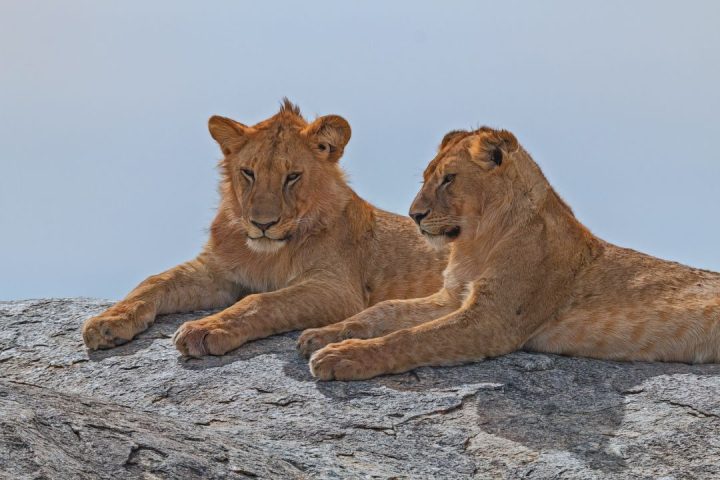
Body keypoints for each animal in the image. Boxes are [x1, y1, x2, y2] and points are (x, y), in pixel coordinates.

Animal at [81, 100, 448, 356]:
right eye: (249, 173)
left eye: (292, 176)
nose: (262, 224)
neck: (266, 253)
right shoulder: (216, 272)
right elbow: (155, 281)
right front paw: (108, 321)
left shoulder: (338, 289)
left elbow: (261, 301)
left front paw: (204, 329)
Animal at [298, 125, 720, 380]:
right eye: (426, 178)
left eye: (449, 179)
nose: (414, 215)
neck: (475, 243)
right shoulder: (452, 297)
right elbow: (383, 311)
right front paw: (321, 334)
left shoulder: (493, 320)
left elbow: (411, 338)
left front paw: (342, 357)